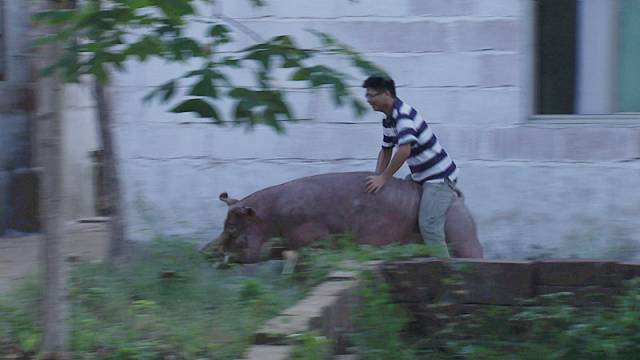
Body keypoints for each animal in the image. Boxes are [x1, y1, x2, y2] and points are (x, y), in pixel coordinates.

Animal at [202, 172, 482, 262]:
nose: (203, 250)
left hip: (460, 232)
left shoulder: (313, 239)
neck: (272, 219)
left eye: (232, 227)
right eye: (225, 224)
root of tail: (457, 198)